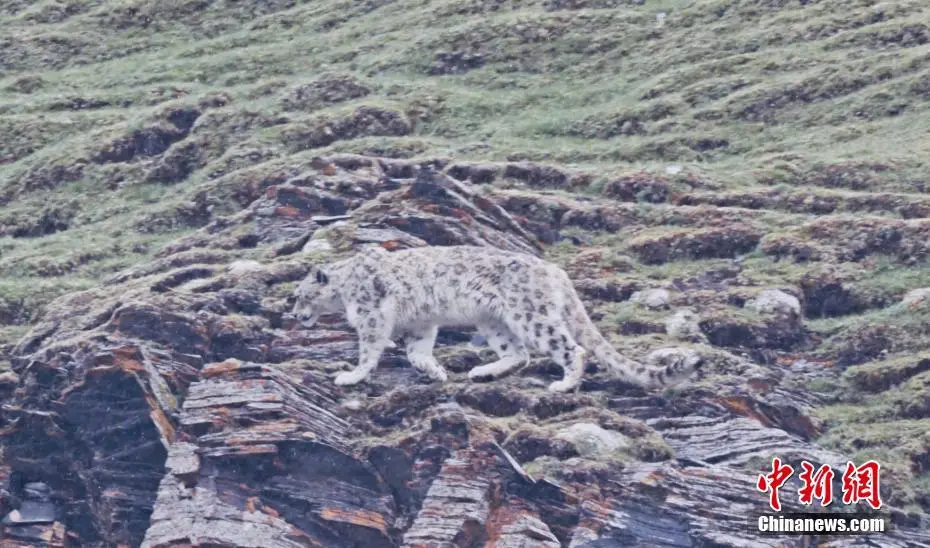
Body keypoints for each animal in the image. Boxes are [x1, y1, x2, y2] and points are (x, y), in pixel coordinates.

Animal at [290, 246, 696, 392]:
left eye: (298, 295)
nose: (293, 315)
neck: (344, 289)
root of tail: (555, 271)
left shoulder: (371, 316)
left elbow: (369, 348)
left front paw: (351, 375)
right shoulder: (422, 324)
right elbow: (417, 352)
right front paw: (436, 372)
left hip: (529, 314)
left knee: (570, 348)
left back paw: (564, 384)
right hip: (493, 321)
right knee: (518, 354)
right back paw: (482, 372)